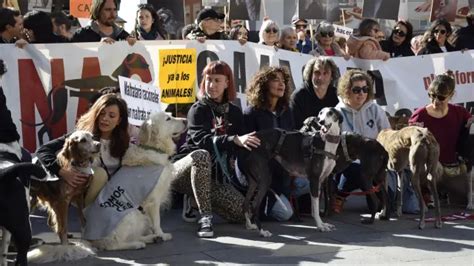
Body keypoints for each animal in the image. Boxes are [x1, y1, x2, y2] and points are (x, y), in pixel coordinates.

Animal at [89, 111, 187, 250]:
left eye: (172, 115)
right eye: (168, 119)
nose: (186, 120)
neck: (154, 148)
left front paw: (157, 235)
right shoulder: (153, 199)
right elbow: (157, 221)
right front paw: (161, 234)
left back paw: (151, 238)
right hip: (132, 215)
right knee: (114, 244)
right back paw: (138, 244)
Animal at [239, 107, 342, 236]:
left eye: (331, 113)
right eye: (320, 113)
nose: (321, 121)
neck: (326, 142)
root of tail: (246, 146)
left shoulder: (320, 181)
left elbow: (315, 208)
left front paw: (323, 224)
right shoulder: (314, 179)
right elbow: (316, 208)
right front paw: (320, 226)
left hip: (254, 181)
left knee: (245, 203)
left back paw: (249, 225)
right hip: (265, 179)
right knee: (254, 206)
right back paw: (262, 231)